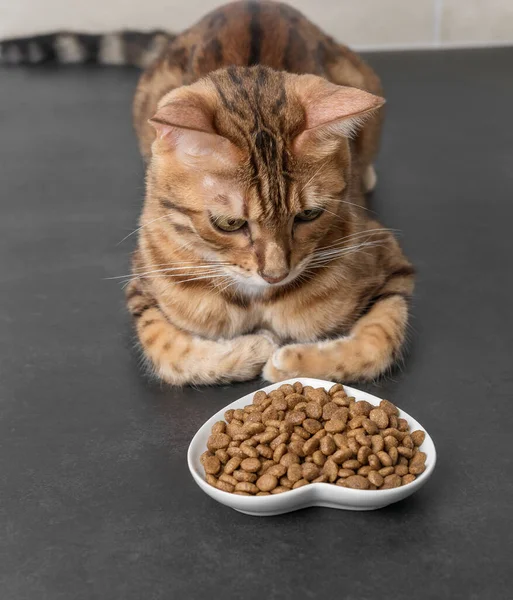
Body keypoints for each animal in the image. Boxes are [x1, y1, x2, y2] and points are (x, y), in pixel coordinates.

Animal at [125, 1, 416, 384]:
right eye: (229, 224)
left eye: (309, 214)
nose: (275, 275)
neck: (257, 301)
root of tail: (253, 4)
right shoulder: (142, 286)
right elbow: (169, 351)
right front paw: (254, 347)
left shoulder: (388, 260)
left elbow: (377, 342)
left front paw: (290, 360)